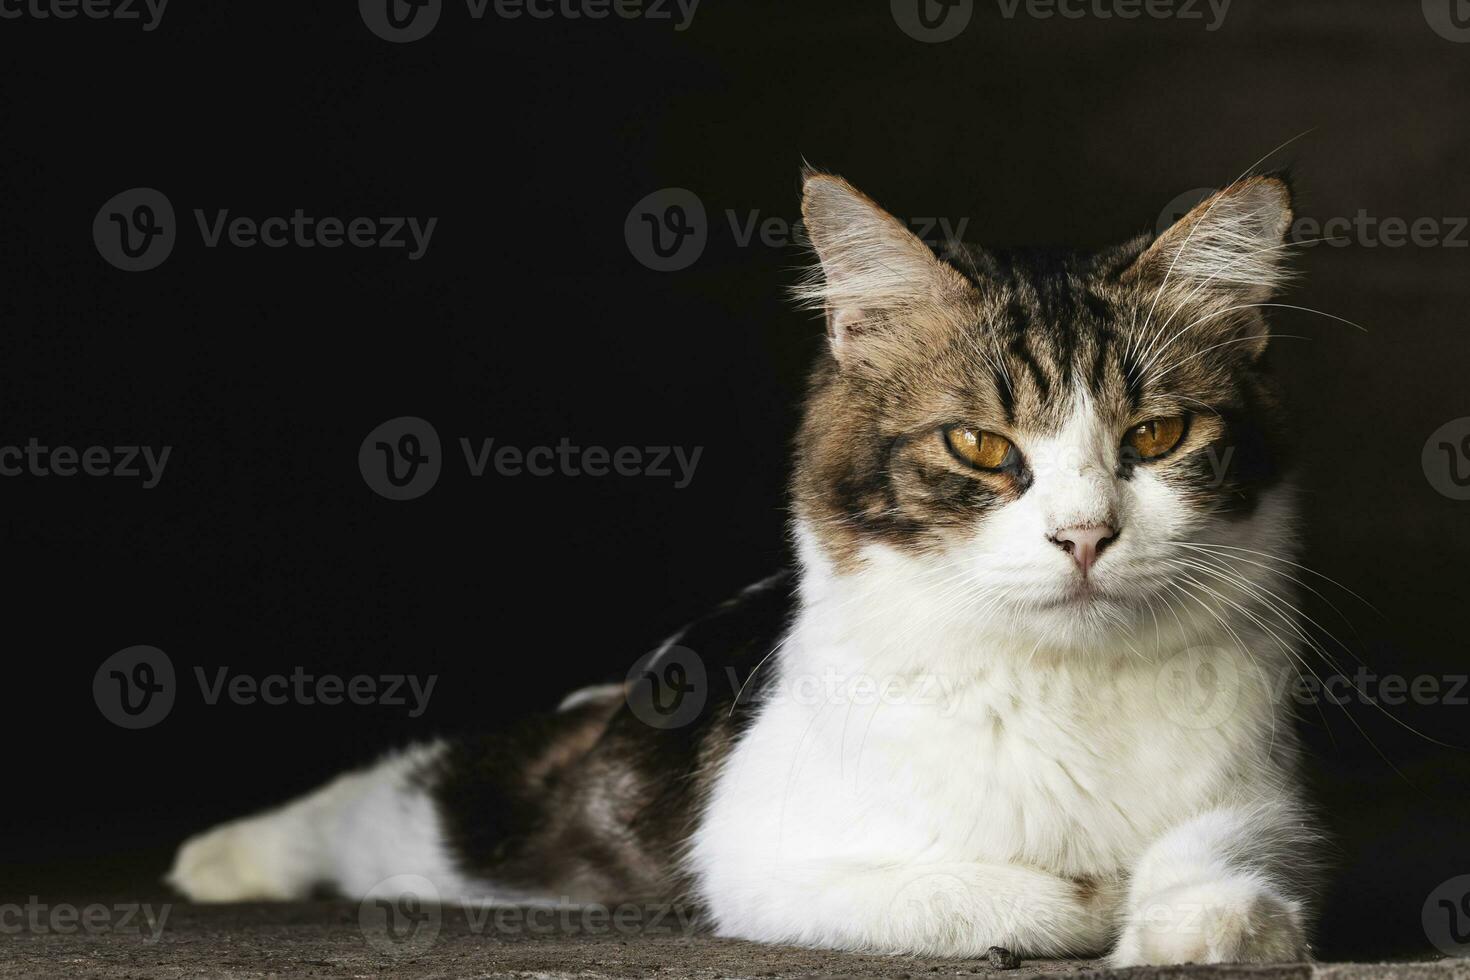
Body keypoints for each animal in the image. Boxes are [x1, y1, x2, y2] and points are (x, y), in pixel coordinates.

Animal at [169, 168, 1323, 963]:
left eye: (1157, 435)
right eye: (981, 446)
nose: (1084, 534)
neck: (1067, 685)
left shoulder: (1266, 803)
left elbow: (1224, 860)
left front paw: (1199, 921)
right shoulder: (755, 859)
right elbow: (993, 891)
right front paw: (1089, 898)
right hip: (498, 819)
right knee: (386, 794)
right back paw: (222, 859)